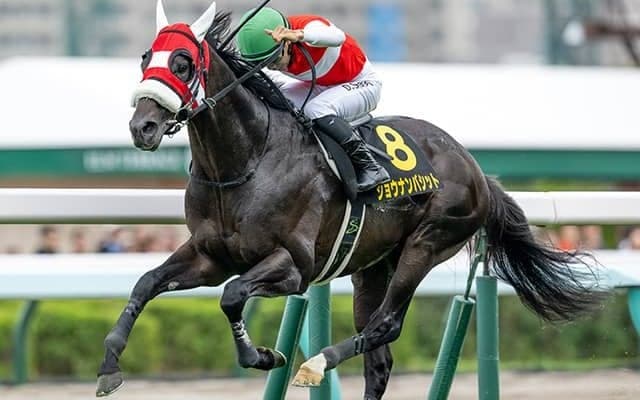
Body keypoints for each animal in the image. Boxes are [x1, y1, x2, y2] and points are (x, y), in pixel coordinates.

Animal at [96, 4, 605, 399]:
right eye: (146, 58)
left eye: (183, 62)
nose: (142, 127)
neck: (247, 161)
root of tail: (476, 169)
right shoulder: (209, 256)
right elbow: (146, 283)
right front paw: (109, 366)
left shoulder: (293, 265)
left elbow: (233, 295)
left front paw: (265, 354)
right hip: (372, 266)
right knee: (379, 358)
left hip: (427, 243)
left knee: (386, 324)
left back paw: (315, 363)